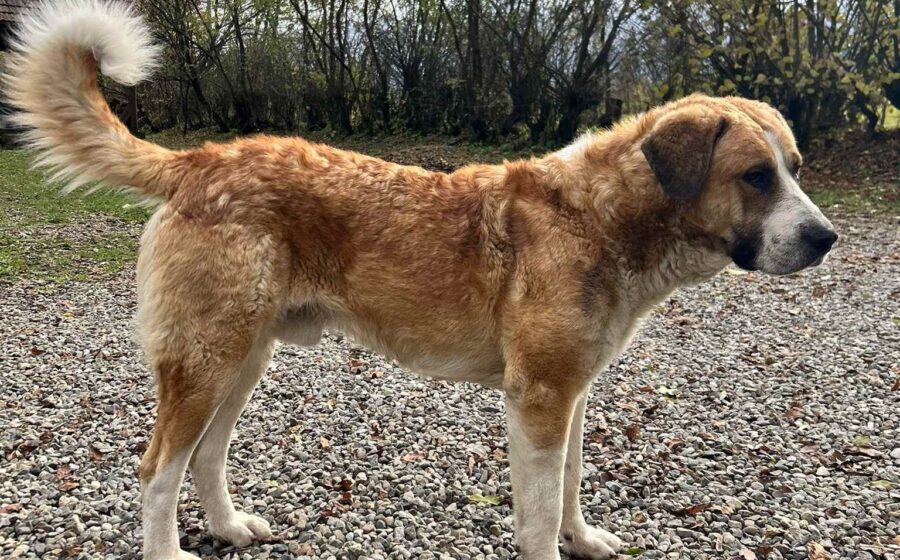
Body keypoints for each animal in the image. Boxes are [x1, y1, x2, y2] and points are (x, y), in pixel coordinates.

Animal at [5, 2, 837, 559]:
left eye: (795, 169)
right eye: (755, 176)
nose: (825, 239)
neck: (601, 215)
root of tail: (198, 160)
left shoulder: (570, 395)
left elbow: (570, 487)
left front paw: (585, 537)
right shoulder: (539, 401)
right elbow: (539, 516)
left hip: (242, 359)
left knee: (204, 458)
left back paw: (229, 527)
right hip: (207, 361)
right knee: (158, 470)